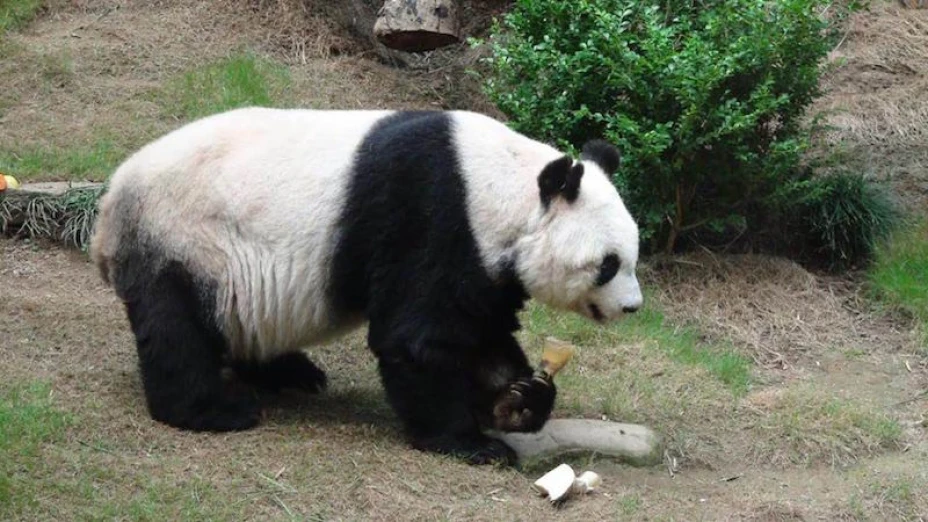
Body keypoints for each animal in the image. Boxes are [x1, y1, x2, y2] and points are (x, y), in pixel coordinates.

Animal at [89, 107, 643, 465]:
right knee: (178, 327)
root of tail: (109, 204)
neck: (499, 185)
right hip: (184, 239)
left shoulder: (480, 259)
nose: (633, 307)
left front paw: (518, 399)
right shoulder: (433, 214)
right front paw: (473, 443)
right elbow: (417, 338)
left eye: (633, 257)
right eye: (608, 265)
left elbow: (478, 330)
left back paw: (291, 373)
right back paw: (217, 410)